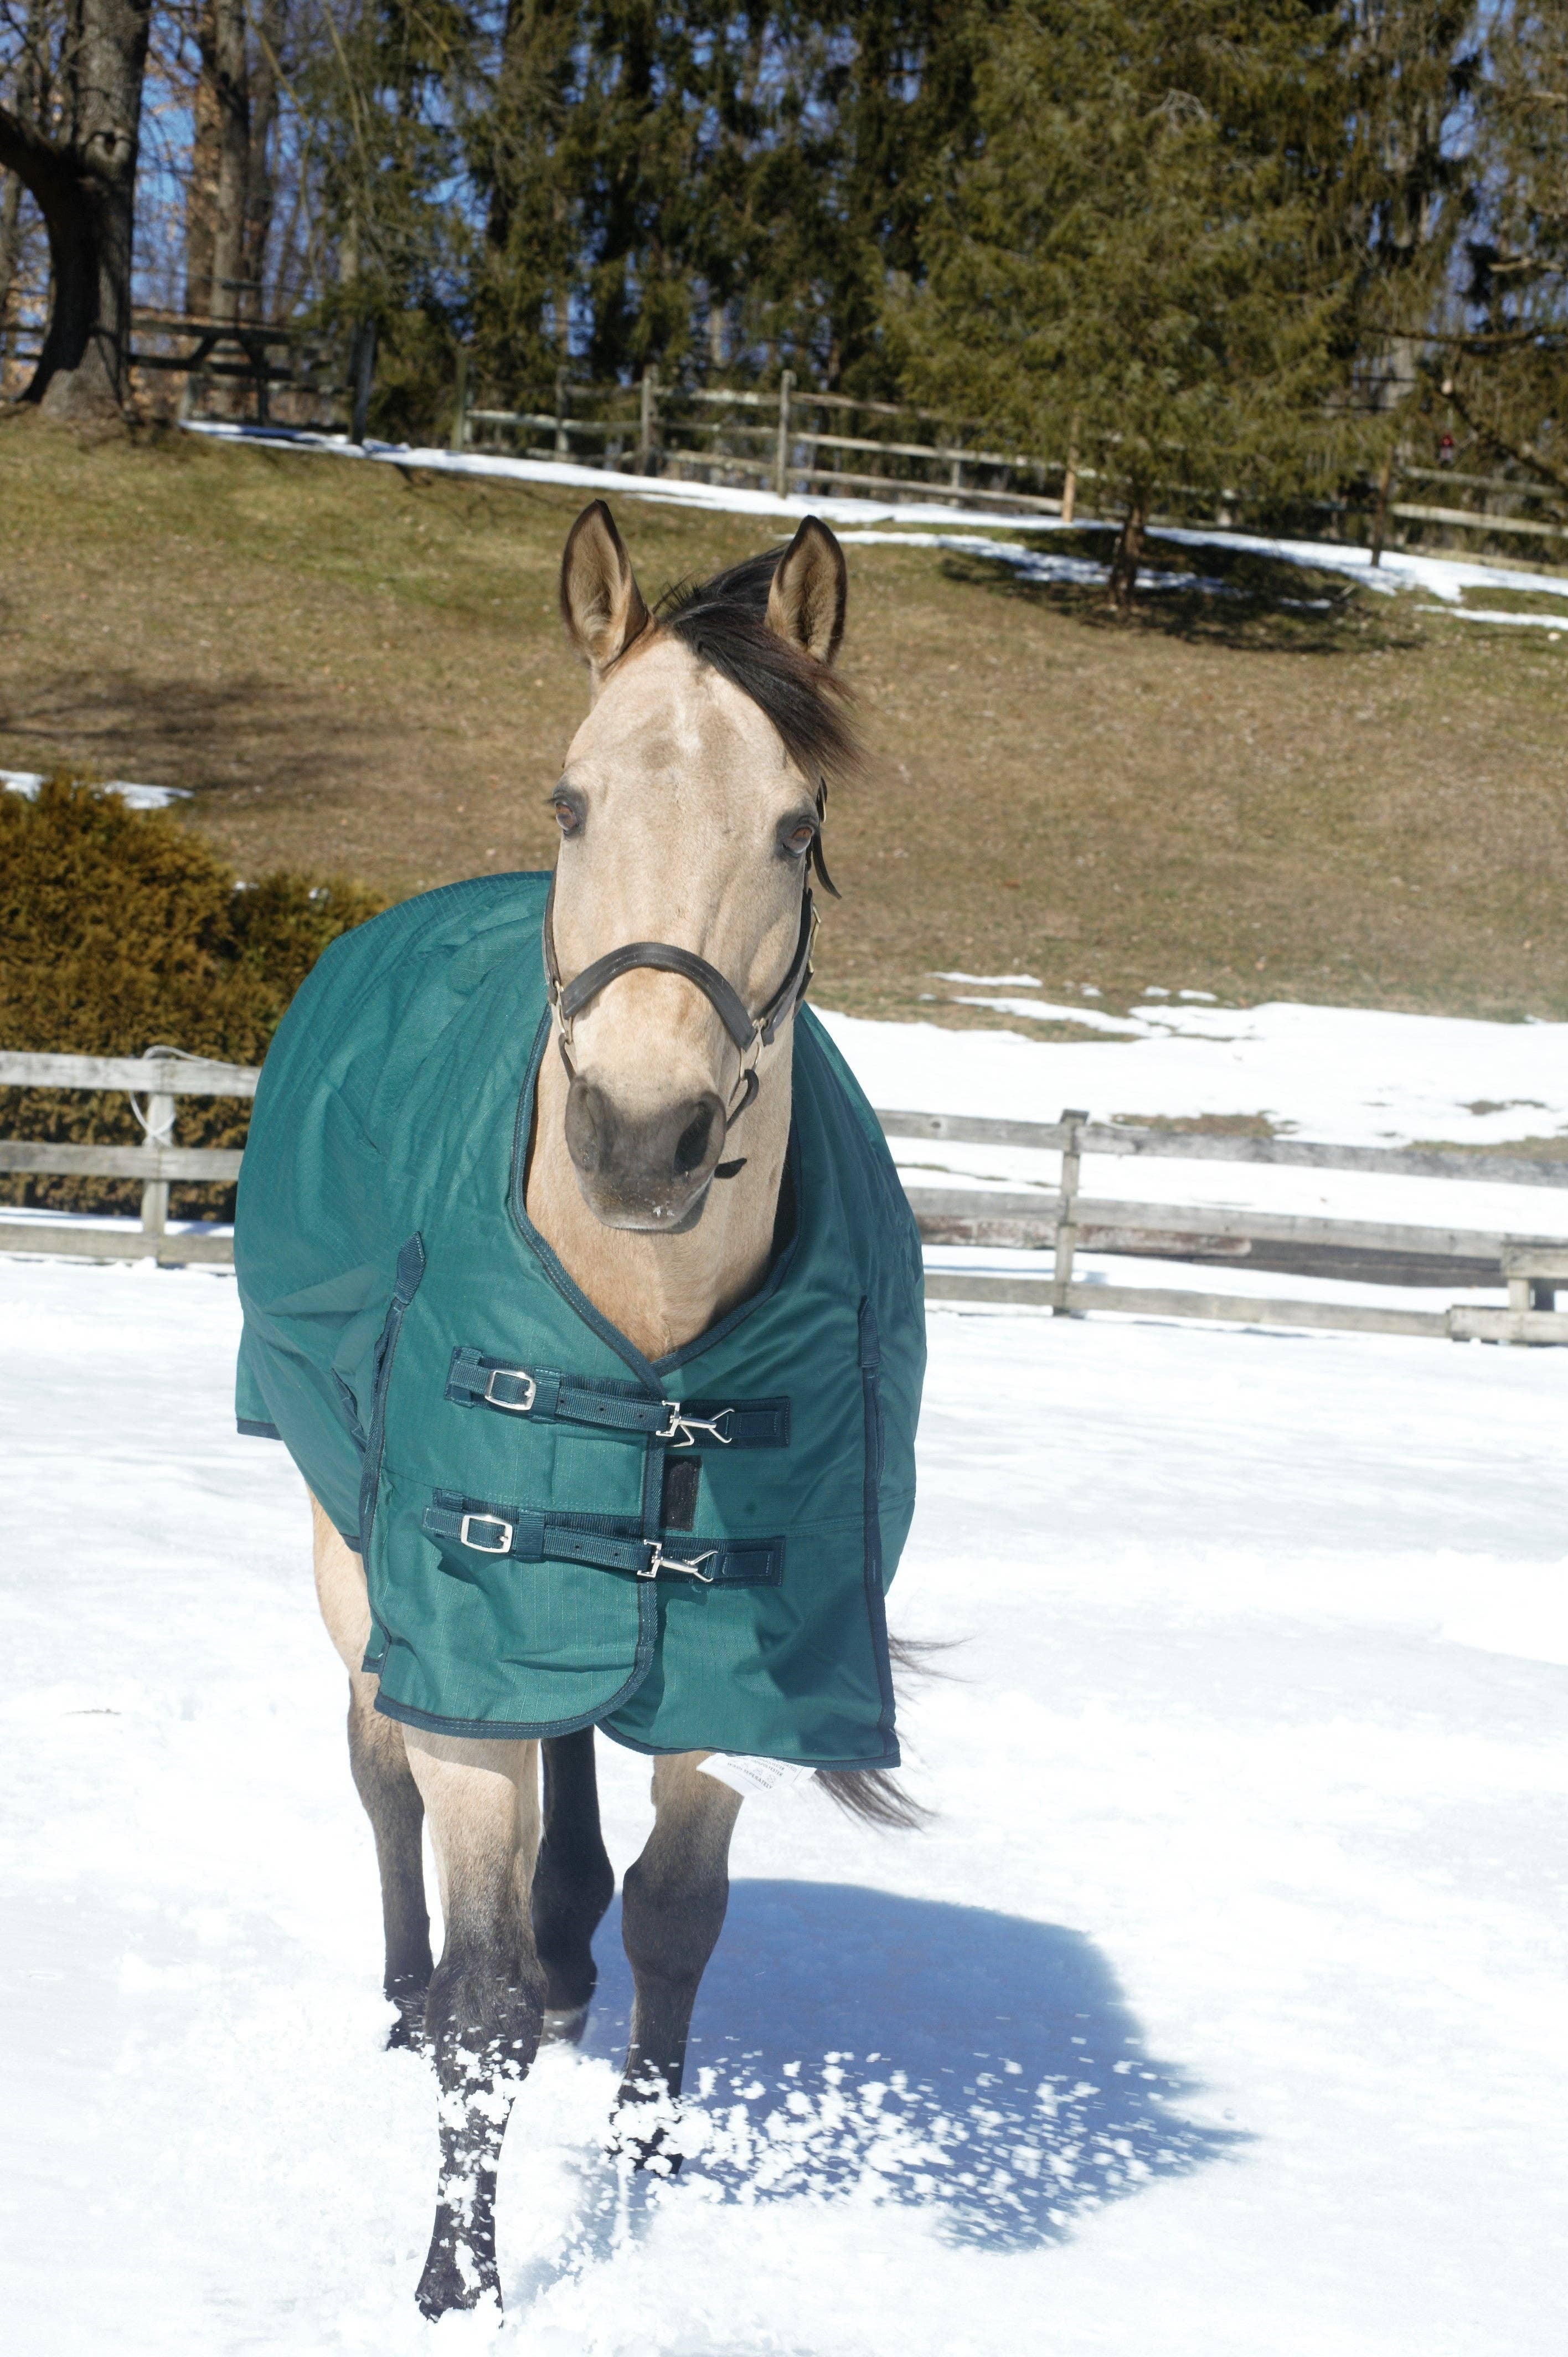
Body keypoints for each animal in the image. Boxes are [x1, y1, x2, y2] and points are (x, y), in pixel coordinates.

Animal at [246, 501, 925, 2319]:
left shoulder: (729, 1656)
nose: (637, 1135)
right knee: (379, 1783)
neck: (657, 1341)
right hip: (356, 1558)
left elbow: (678, 1917)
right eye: (570, 799)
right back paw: (404, 1993)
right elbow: (477, 1981)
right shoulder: (462, 1626)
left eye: (793, 825)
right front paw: (458, 2283)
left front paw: (646, 2174)